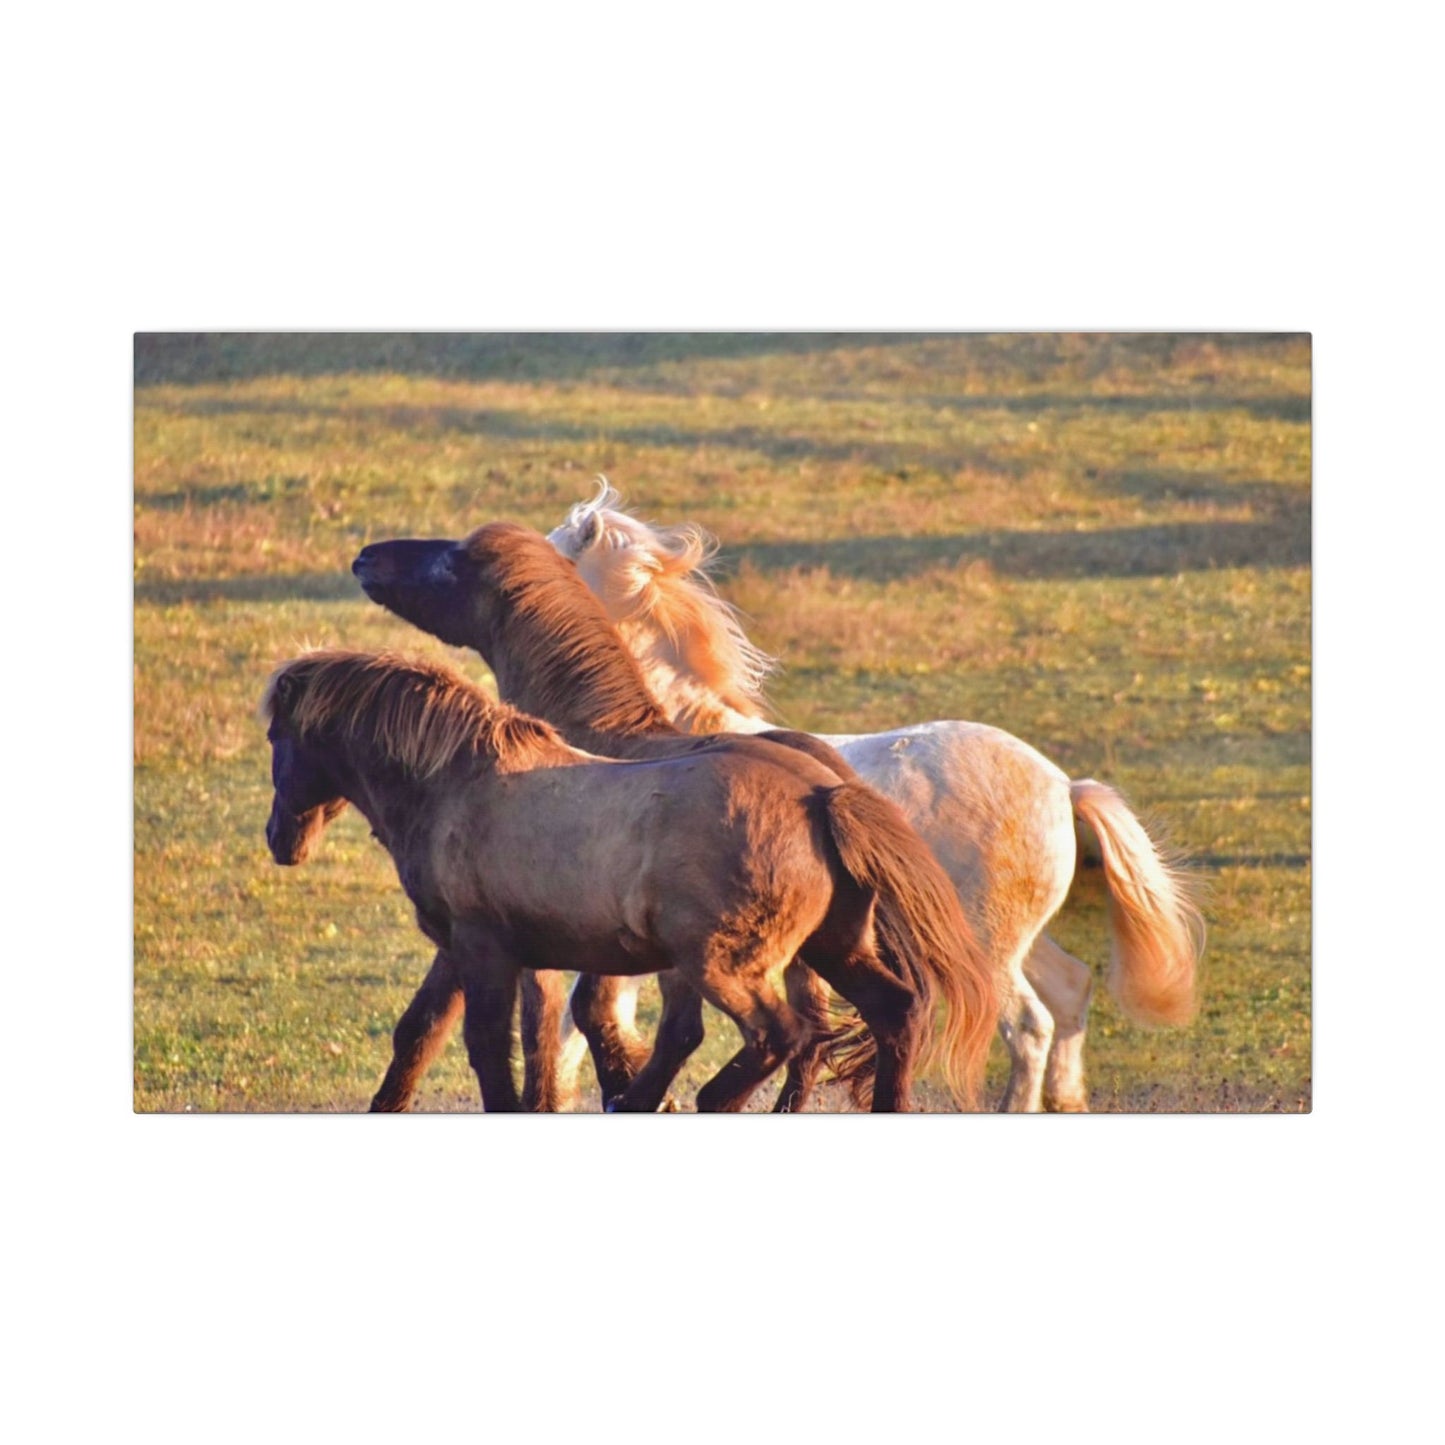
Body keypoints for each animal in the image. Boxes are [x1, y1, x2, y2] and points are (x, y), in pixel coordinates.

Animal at [351, 523, 996, 1112]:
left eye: (451, 562)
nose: (365, 557)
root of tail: (827, 795)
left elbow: (556, 1024)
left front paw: (616, 1087)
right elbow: (429, 1026)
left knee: (783, 1031)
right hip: (818, 948)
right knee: (867, 1020)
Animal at [545, 480, 1205, 1112]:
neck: (659, 734)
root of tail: (1063, 787)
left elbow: (587, 1019)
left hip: (988, 949)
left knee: (1029, 1026)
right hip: (1020, 941)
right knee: (1070, 991)